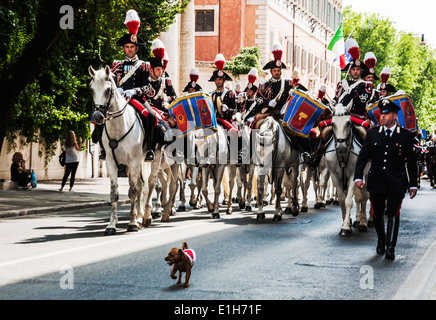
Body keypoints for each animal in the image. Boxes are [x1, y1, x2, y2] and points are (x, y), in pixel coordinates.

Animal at [89, 65, 152, 235]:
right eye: (91, 88)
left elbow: (132, 192)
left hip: (149, 161)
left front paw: (132, 223)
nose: (97, 117)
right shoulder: (111, 163)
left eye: (108, 90)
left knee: (147, 185)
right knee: (140, 185)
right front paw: (112, 225)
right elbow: (114, 194)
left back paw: (145, 216)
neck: (119, 127)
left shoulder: (135, 161)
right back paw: (140, 216)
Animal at [322, 101, 370, 236]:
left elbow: (349, 200)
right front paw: (346, 222)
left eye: (348, 123)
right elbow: (342, 200)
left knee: (365, 197)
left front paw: (346, 228)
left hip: (367, 173)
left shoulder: (354, 175)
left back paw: (363, 223)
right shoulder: (335, 176)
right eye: (333, 123)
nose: (341, 147)